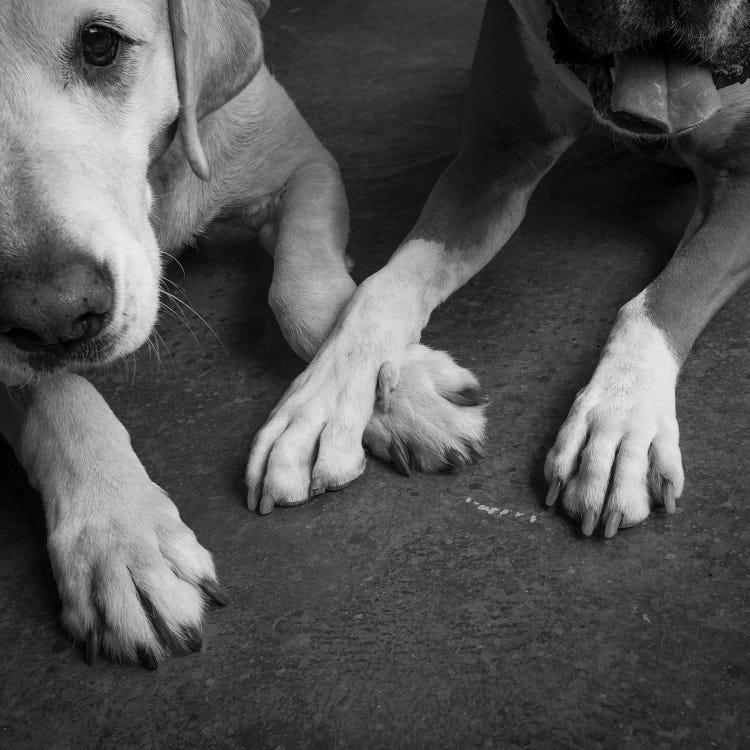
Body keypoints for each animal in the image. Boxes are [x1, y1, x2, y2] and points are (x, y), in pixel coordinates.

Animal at [0, 0, 482, 668]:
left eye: (100, 44)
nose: (51, 316)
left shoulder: (302, 162)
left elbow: (300, 288)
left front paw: (389, 394)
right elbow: (57, 396)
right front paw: (120, 535)